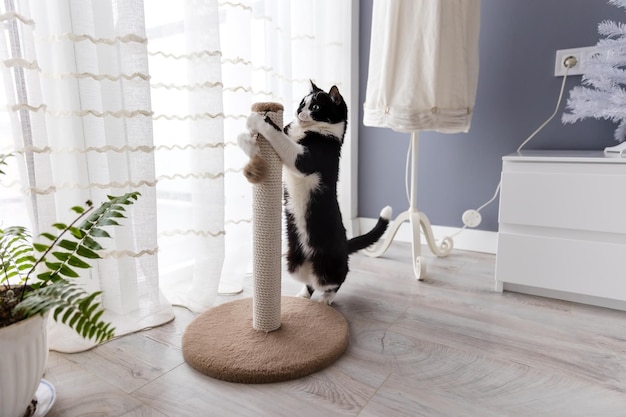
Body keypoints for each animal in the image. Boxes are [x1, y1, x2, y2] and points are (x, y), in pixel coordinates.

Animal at [239, 81, 390, 304]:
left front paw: (258, 120)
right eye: (303, 102)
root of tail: (344, 245)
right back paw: (303, 295)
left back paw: (326, 299)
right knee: (309, 280)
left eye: (316, 107)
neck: (309, 131)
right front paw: (246, 139)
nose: (298, 110)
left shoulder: (305, 159)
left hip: (329, 267)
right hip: (294, 263)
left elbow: (279, 136)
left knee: (337, 279)